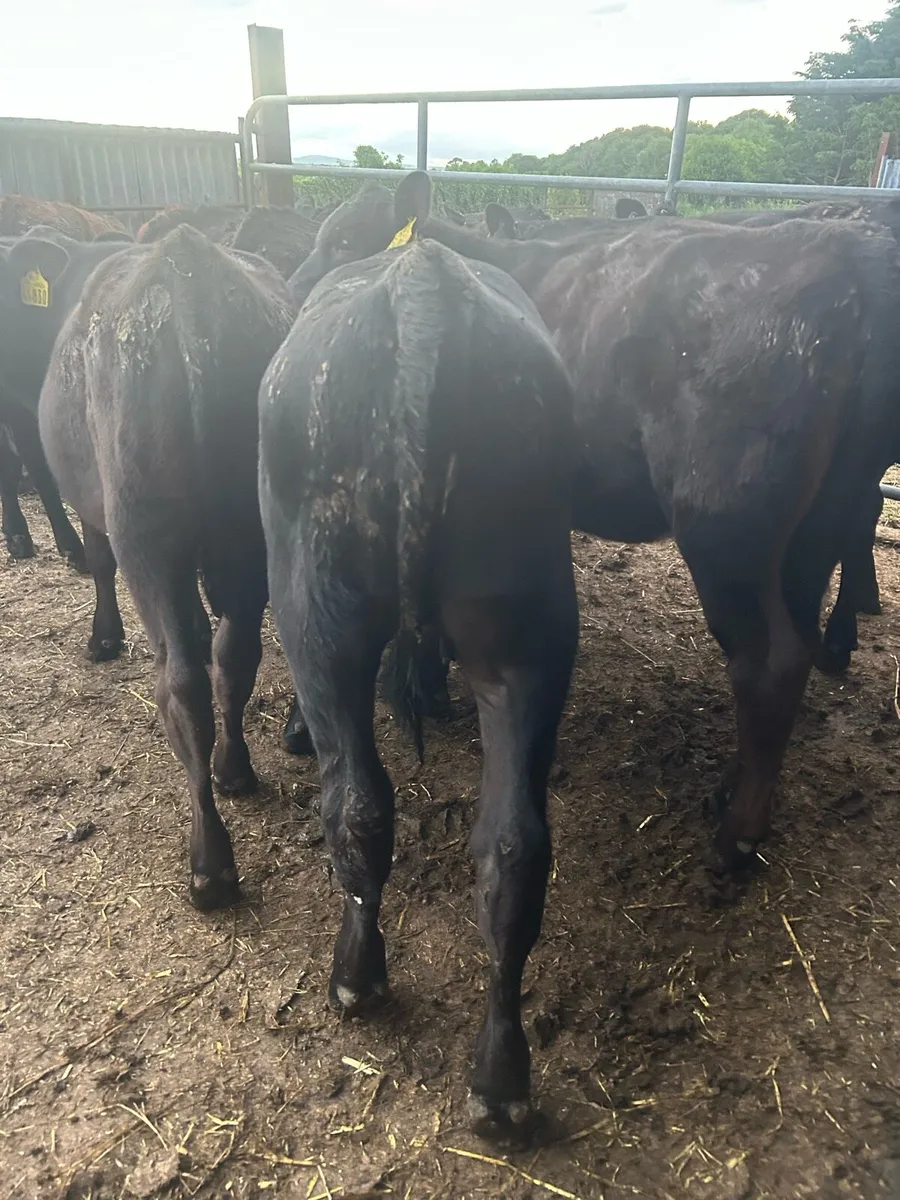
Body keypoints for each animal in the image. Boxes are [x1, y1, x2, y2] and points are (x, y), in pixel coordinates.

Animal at [27, 225, 296, 910]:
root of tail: (185, 272)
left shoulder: (98, 517)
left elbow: (98, 563)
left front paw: (103, 638)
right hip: (248, 536)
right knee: (233, 655)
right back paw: (233, 770)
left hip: (147, 539)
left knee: (181, 684)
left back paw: (210, 863)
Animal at [260, 216, 577, 1139]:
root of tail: (423, 288)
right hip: (527, 634)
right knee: (512, 848)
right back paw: (501, 1077)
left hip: (316, 613)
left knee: (357, 803)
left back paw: (354, 977)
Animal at [289, 171, 900, 877]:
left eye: (343, 242)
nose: (295, 291)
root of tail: (846, 260)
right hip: (820, 522)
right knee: (796, 634)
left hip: (726, 527)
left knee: (770, 661)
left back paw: (737, 837)